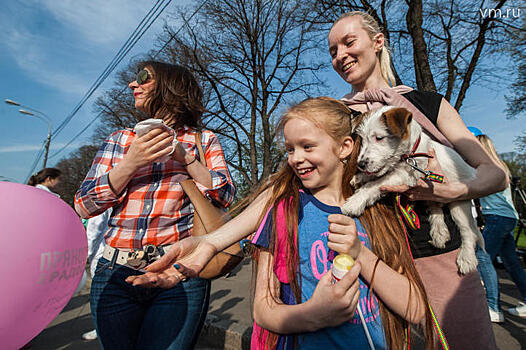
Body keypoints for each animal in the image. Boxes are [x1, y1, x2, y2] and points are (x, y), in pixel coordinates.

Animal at [342, 105, 486, 274]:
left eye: (379, 138)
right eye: (362, 140)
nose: (361, 164)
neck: (410, 154)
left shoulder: (407, 174)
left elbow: (375, 184)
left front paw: (354, 202)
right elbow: (378, 174)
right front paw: (360, 177)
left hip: (459, 203)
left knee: (468, 231)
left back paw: (466, 258)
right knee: (436, 208)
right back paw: (439, 233)